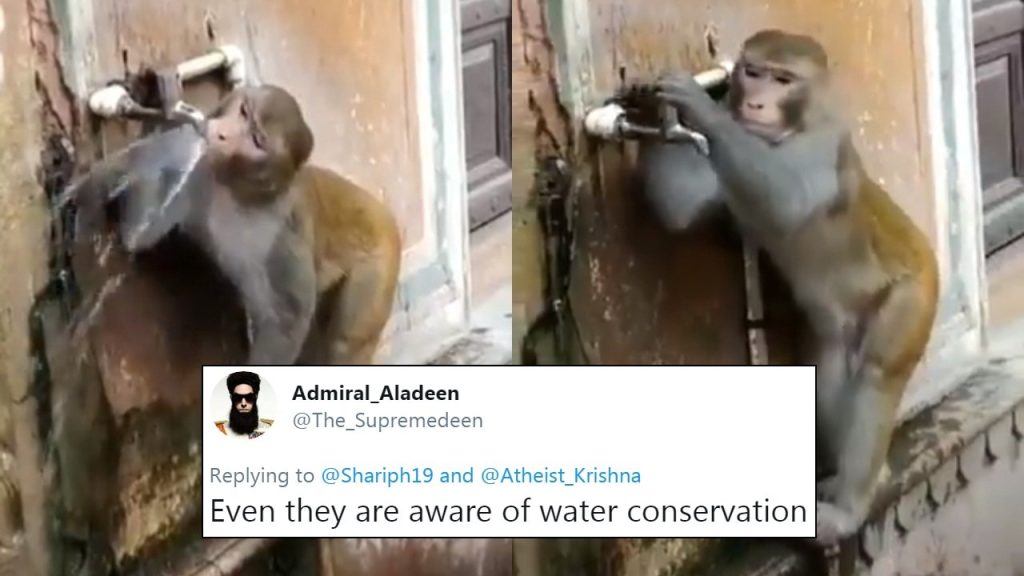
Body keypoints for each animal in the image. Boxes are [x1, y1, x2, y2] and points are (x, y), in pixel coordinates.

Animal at [65, 84, 401, 365]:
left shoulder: (281, 238)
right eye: (243, 112)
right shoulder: (198, 167)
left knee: (345, 344)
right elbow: (141, 234)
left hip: (379, 261)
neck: (235, 188)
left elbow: (285, 320)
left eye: (256, 141)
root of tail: (385, 213)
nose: (222, 135)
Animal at [649, 29, 939, 546]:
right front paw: (691, 102)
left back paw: (848, 508)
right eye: (754, 72)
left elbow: (788, 201)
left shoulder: (821, 148)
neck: (791, 131)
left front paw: (700, 107)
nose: (756, 101)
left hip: (913, 295)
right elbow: (677, 210)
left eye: (783, 80)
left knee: (877, 373)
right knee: (829, 366)